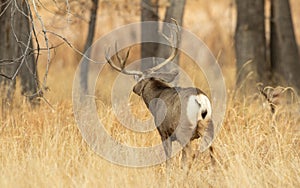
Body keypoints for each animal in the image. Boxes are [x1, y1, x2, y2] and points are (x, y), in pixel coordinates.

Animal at [104, 23, 214, 169]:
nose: (134, 89)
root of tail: (200, 99)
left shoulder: (164, 132)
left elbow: (168, 160)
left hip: (184, 130)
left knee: (190, 155)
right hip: (209, 127)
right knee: (213, 152)